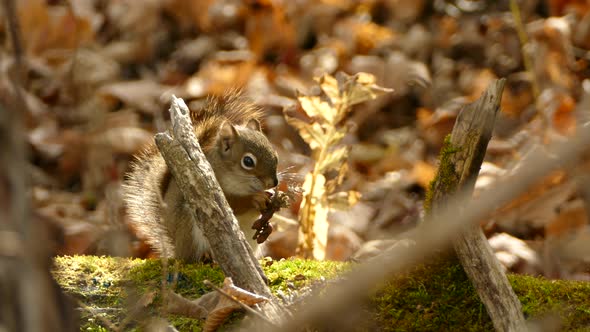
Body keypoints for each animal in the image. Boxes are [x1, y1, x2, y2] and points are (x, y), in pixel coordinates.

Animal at [123, 91, 280, 262]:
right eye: (248, 161)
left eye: (276, 155)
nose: (274, 182)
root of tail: (177, 250)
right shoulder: (209, 190)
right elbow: (232, 204)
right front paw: (256, 198)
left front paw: (270, 210)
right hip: (189, 227)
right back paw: (206, 257)